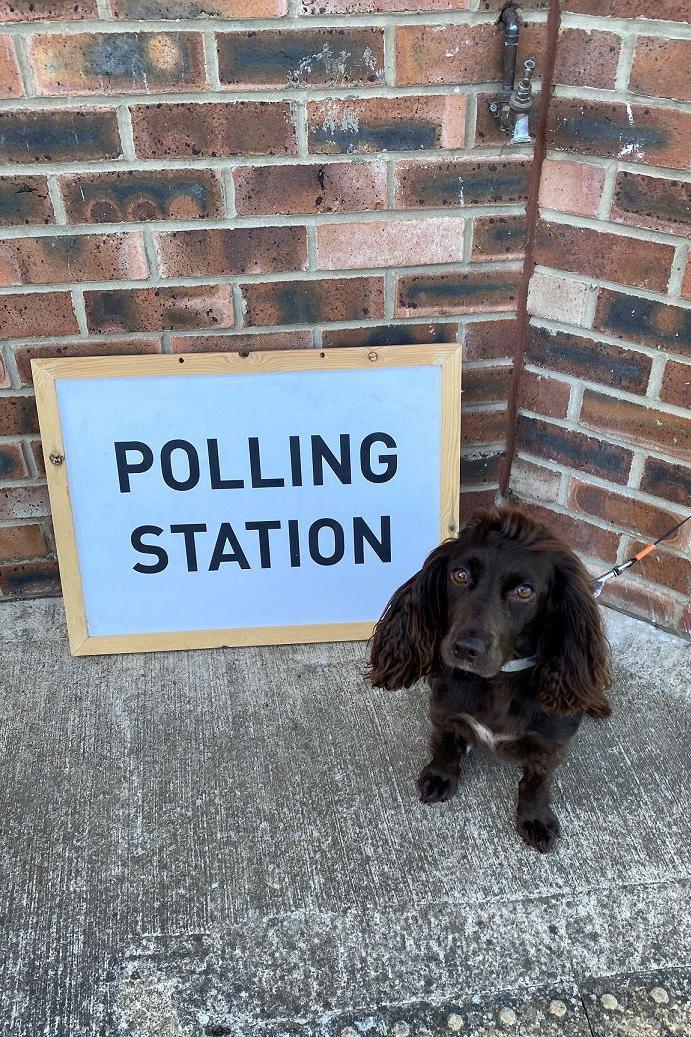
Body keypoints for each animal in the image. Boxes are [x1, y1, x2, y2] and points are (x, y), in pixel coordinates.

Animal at [365, 506, 610, 854]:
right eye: (460, 575)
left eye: (524, 591)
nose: (466, 649)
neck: (498, 681)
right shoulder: (444, 711)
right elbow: (444, 746)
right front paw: (440, 776)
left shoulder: (550, 743)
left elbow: (536, 782)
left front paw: (535, 818)